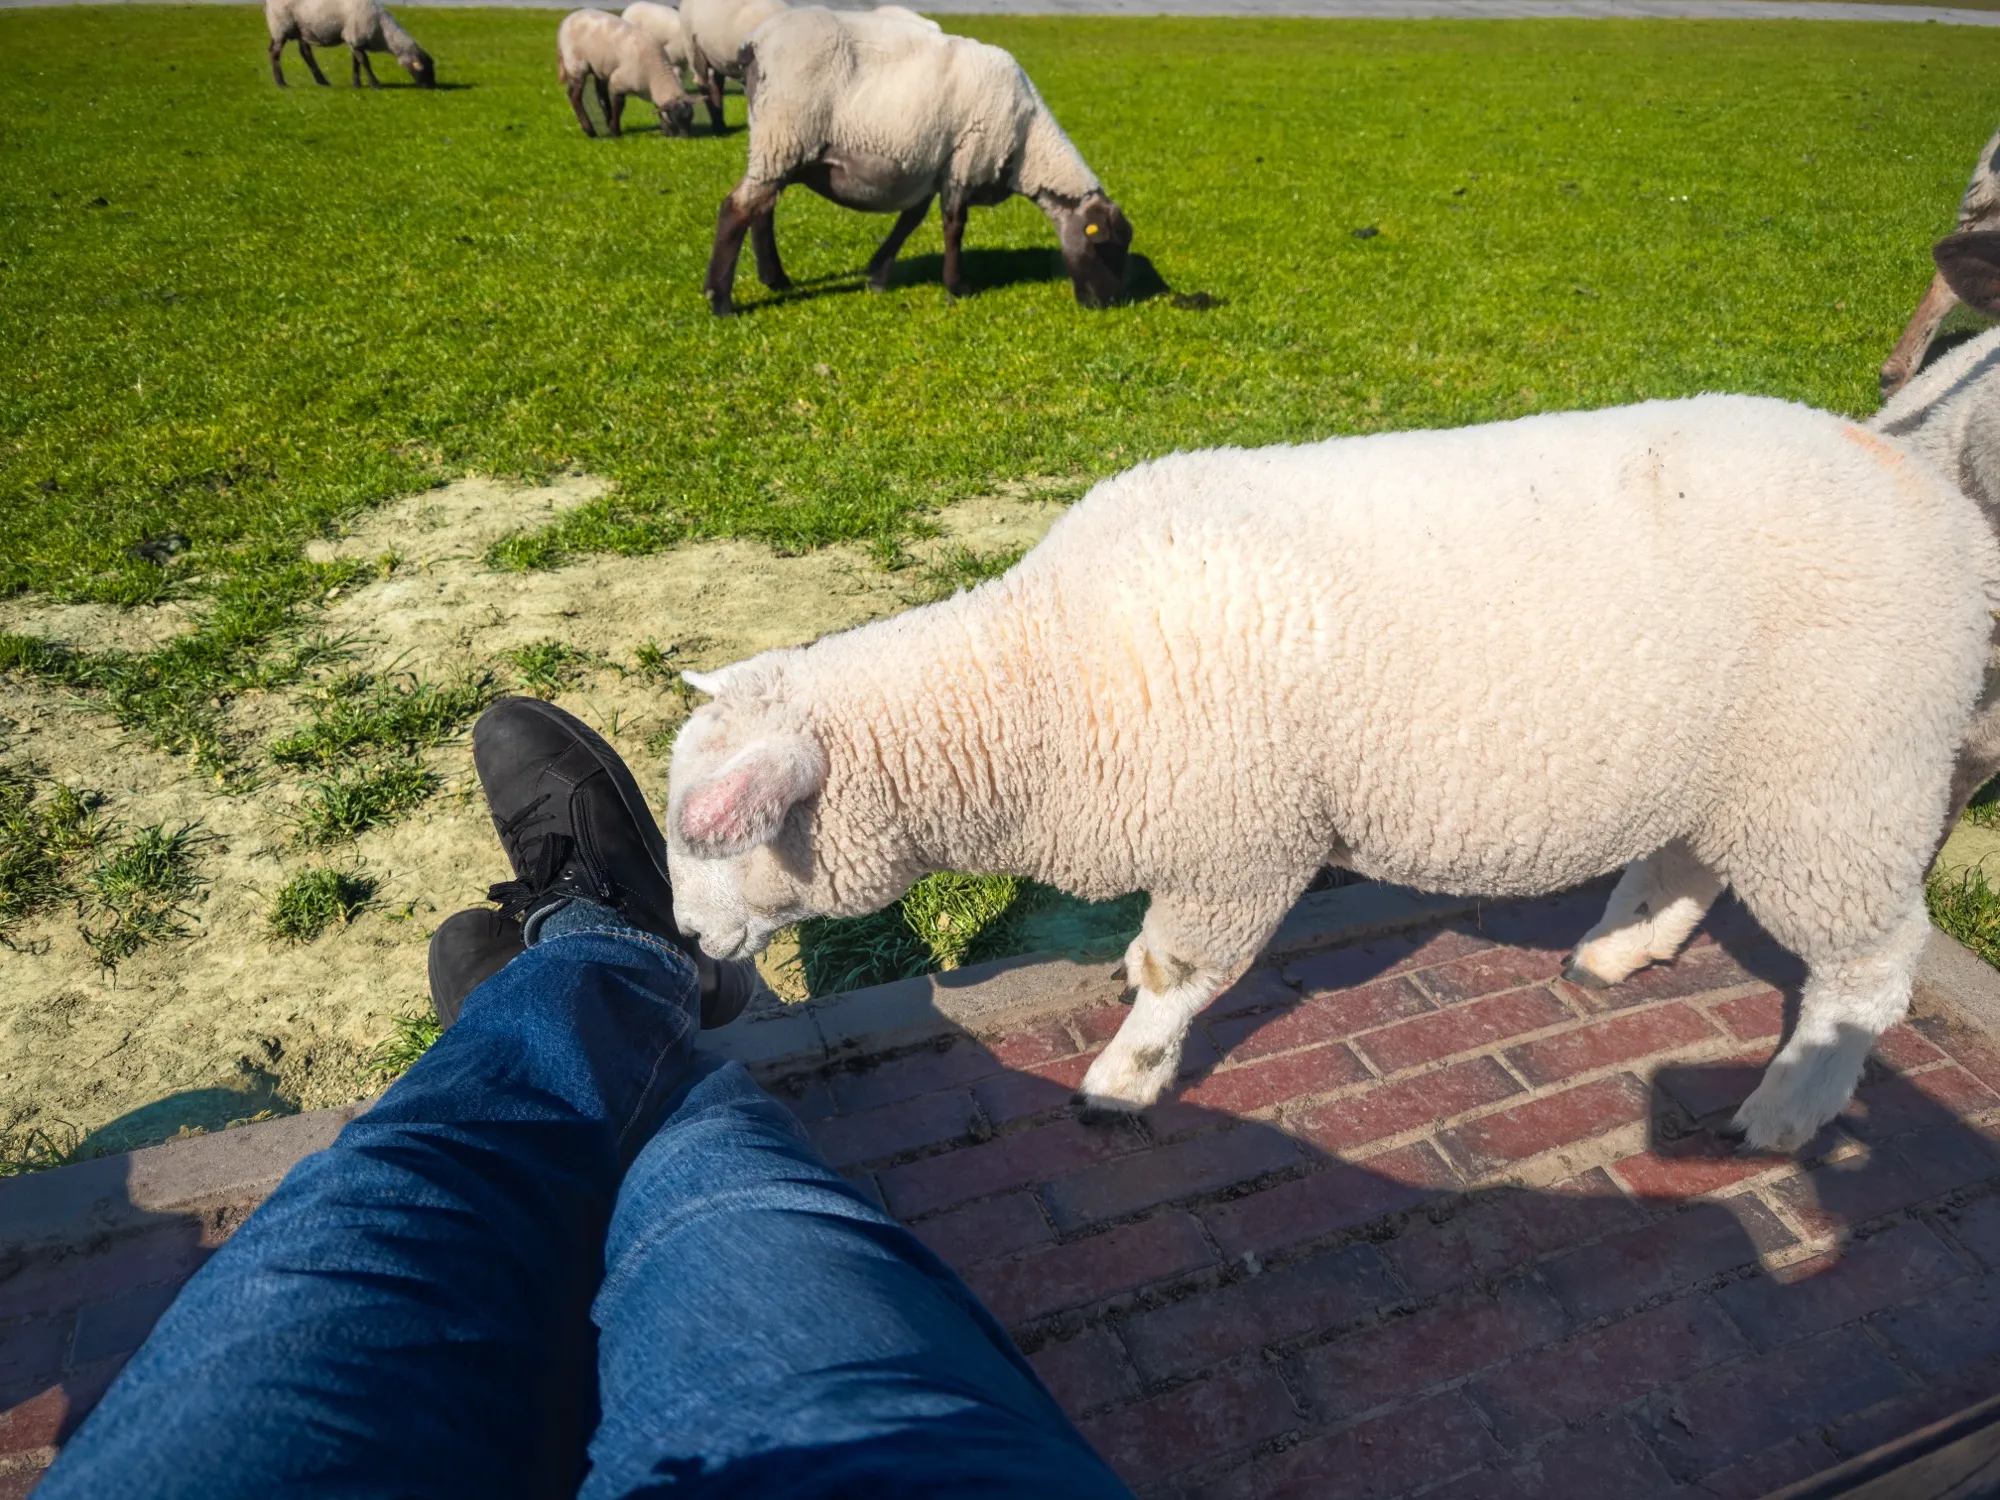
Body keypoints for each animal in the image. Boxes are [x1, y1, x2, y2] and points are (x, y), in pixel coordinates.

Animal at [266, 0, 434, 89]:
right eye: (424, 69)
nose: (432, 86)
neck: (383, 31)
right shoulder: (355, 38)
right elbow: (365, 62)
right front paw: (375, 84)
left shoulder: (355, 42)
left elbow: (356, 63)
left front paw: (357, 84)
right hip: (281, 26)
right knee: (275, 53)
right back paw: (281, 83)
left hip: (300, 29)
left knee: (305, 52)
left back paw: (322, 81)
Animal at [558, 9, 695, 139]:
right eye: (675, 118)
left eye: (690, 118)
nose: (685, 138)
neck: (656, 73)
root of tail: (568, 19)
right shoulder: (619, 82)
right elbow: (619, 105)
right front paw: (616, 131)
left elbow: (658, 108)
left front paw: (666, 131)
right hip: (576, 63)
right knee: (575, 96)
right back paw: (590, 130)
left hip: (599, 66)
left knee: (596, 92)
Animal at [661, 395, 1999, 1155]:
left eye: (714, 836)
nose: (682, 940)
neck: (1040, 690)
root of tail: (1949, 514)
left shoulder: (1238, 841)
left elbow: (1178, 974)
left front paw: (1121, 1082)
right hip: (1736, 761)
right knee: (1684, 854)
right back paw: (1619, 951)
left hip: (1842, 773)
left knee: (1868, 969)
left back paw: (1787, 1109)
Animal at [680, 0, 788, 132]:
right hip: (692, 47)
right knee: (702, 82)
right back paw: (718, 128)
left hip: (716, 57)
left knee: (716, 83)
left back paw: (720, 124)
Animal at [702, 6, 1132, 316]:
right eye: (1105, 247)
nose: (1108, 304)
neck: (1030, 144)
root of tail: (754, 43)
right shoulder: (965, 160)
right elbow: (954, 226)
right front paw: (957, 286)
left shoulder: (932, 168)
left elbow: (909, 222)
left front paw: (877, 276)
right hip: (786, 130)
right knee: (737, 208)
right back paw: (720, 300)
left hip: (781, 143)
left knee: (762, 208)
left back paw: (775, 279)